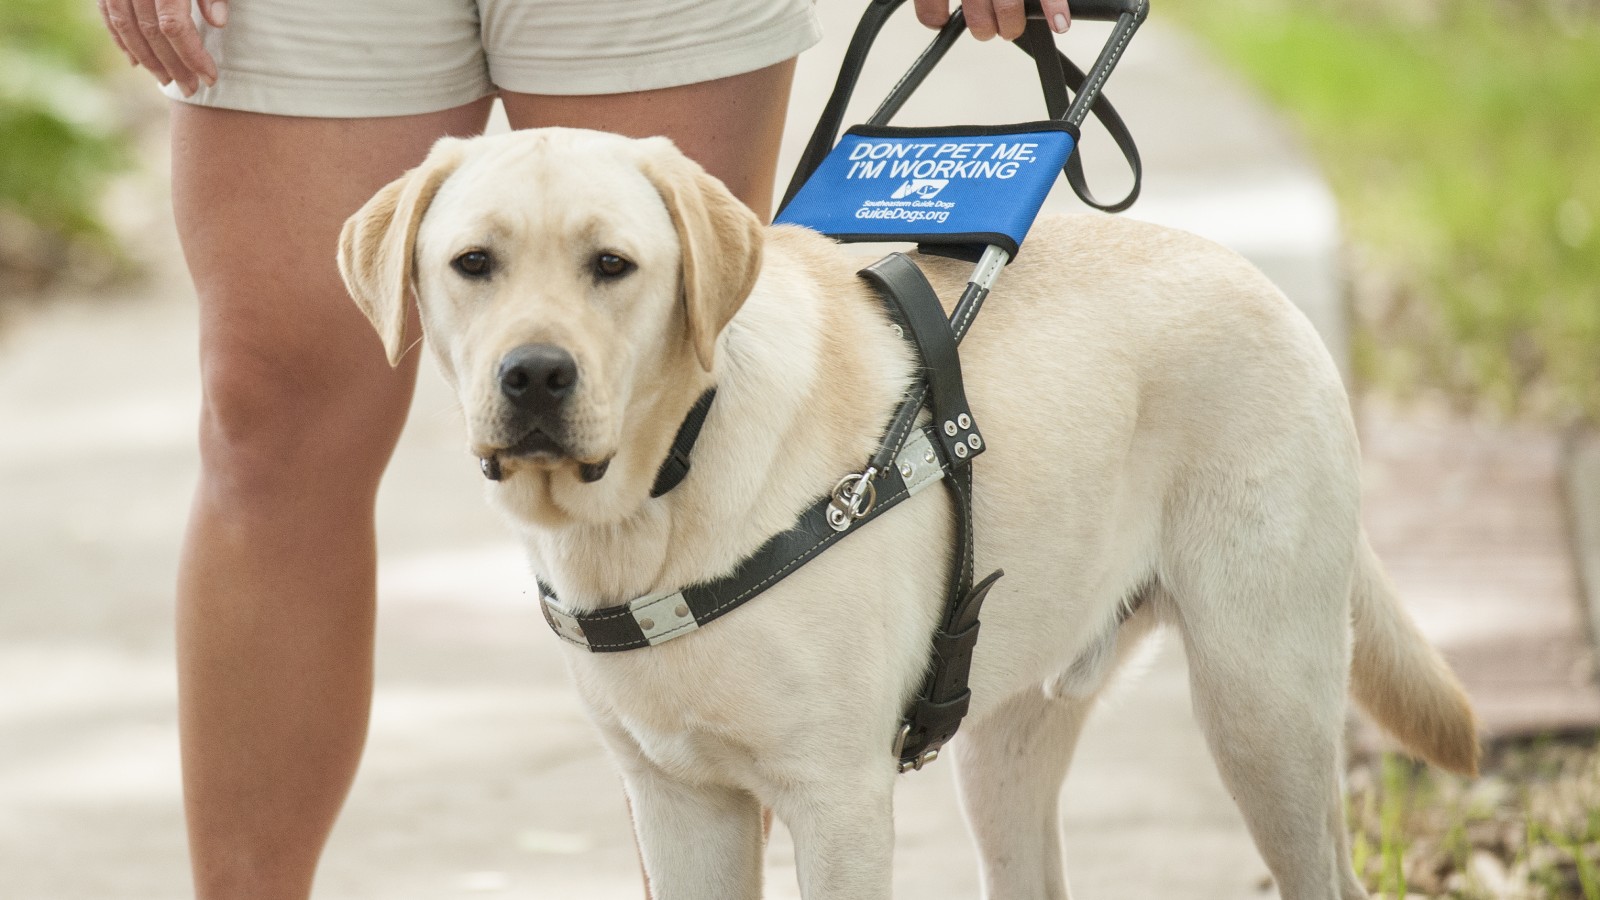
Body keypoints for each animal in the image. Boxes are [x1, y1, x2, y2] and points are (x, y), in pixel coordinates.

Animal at [337, 129, 1472, 896]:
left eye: (611, 266)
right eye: (473, 264)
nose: (534, 375)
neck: (660, 494)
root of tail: (1266, 286)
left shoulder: (837, 800)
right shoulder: (678, 804)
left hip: (1262, 704)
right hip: (1004, 737)